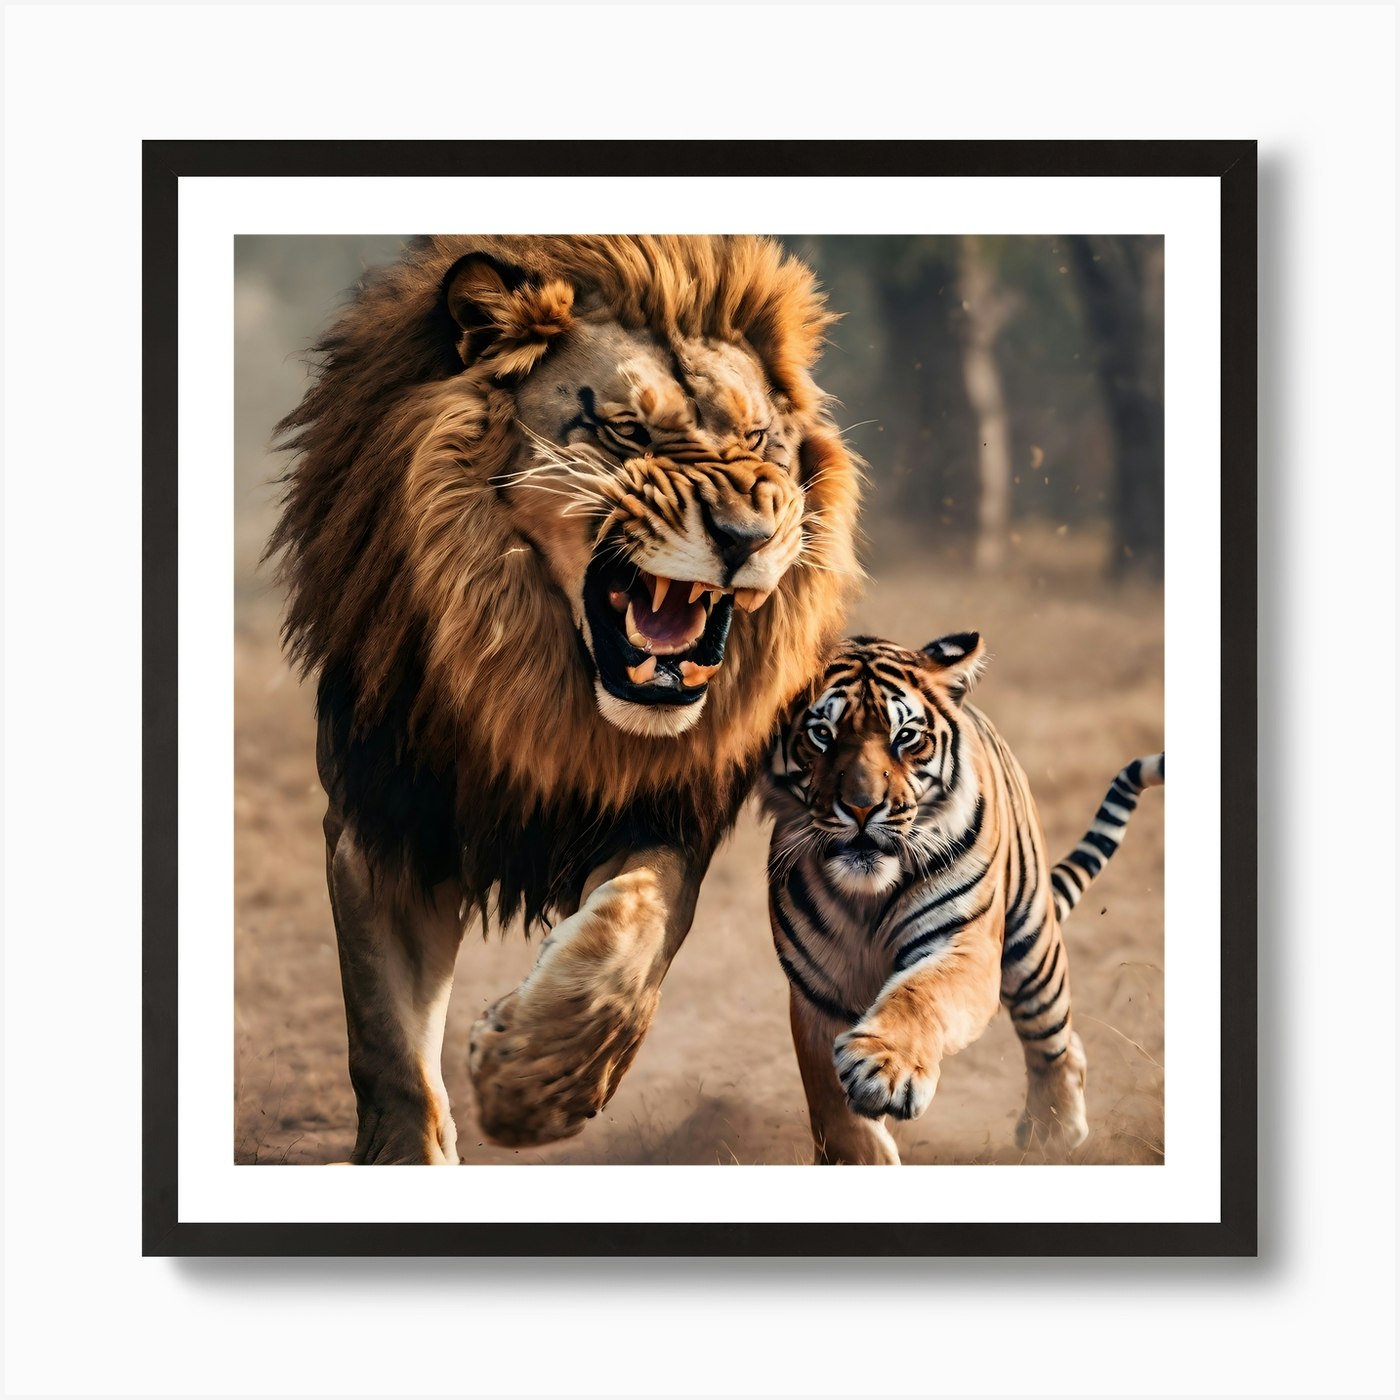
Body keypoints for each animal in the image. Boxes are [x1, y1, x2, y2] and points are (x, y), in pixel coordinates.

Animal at [270, 236, 861, 1162]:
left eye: (759, 438)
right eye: (626, 432)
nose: (747, 538)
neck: (546, 691)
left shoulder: (666, 809)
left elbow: (632, 937)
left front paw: (534, 1081)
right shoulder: (383, 822)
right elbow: (389, 1048)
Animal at [761, 630, 1164, 1165]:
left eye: (906, 737)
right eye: (821, 734)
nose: (863, 808)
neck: (866, 896)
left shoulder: (965, 946)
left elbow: (919, 996)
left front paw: (883, 1069)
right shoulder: (816, 989)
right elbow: (832, 1108)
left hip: (1033, 949)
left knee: (1053, 1038)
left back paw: (1053, 1132)